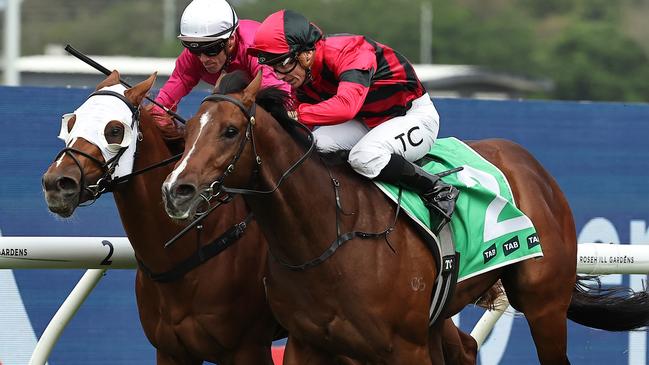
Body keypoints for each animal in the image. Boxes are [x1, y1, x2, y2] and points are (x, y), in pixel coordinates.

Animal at [161, 72, 648, 364]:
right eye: (187, 131)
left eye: (229, 131)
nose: (176, 189)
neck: (327, 236)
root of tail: (532, 165)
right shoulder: (306, 343)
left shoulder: (401, 346)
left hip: (543, 303)